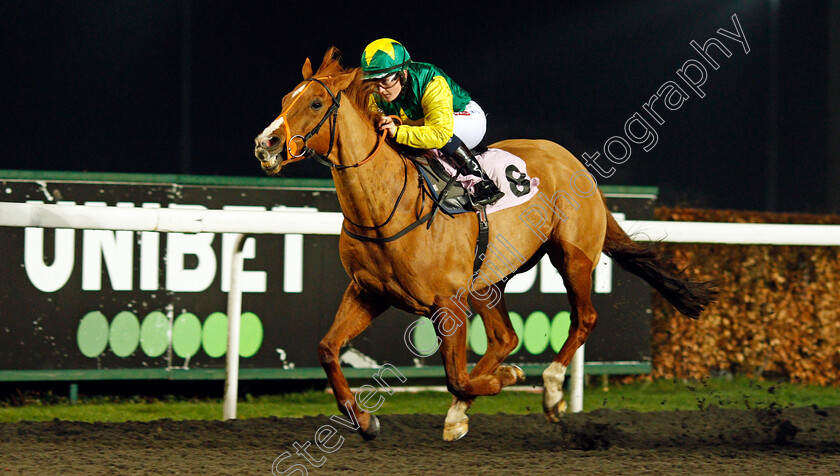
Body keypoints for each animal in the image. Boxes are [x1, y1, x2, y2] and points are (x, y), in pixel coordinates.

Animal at [251, 48, 716, 442]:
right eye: (285, 98)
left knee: (584, 318)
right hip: (487, 279)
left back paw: (549, 391)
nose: (265, 144)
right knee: (504, 337)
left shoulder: (448, 303)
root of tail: (573, 162)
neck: (385, 209)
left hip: (572, 255)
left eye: (315, 104)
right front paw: (365, 421)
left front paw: (510, 379)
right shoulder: (368, 292)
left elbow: (455, 375)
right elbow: (328, 349)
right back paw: (464, 411)